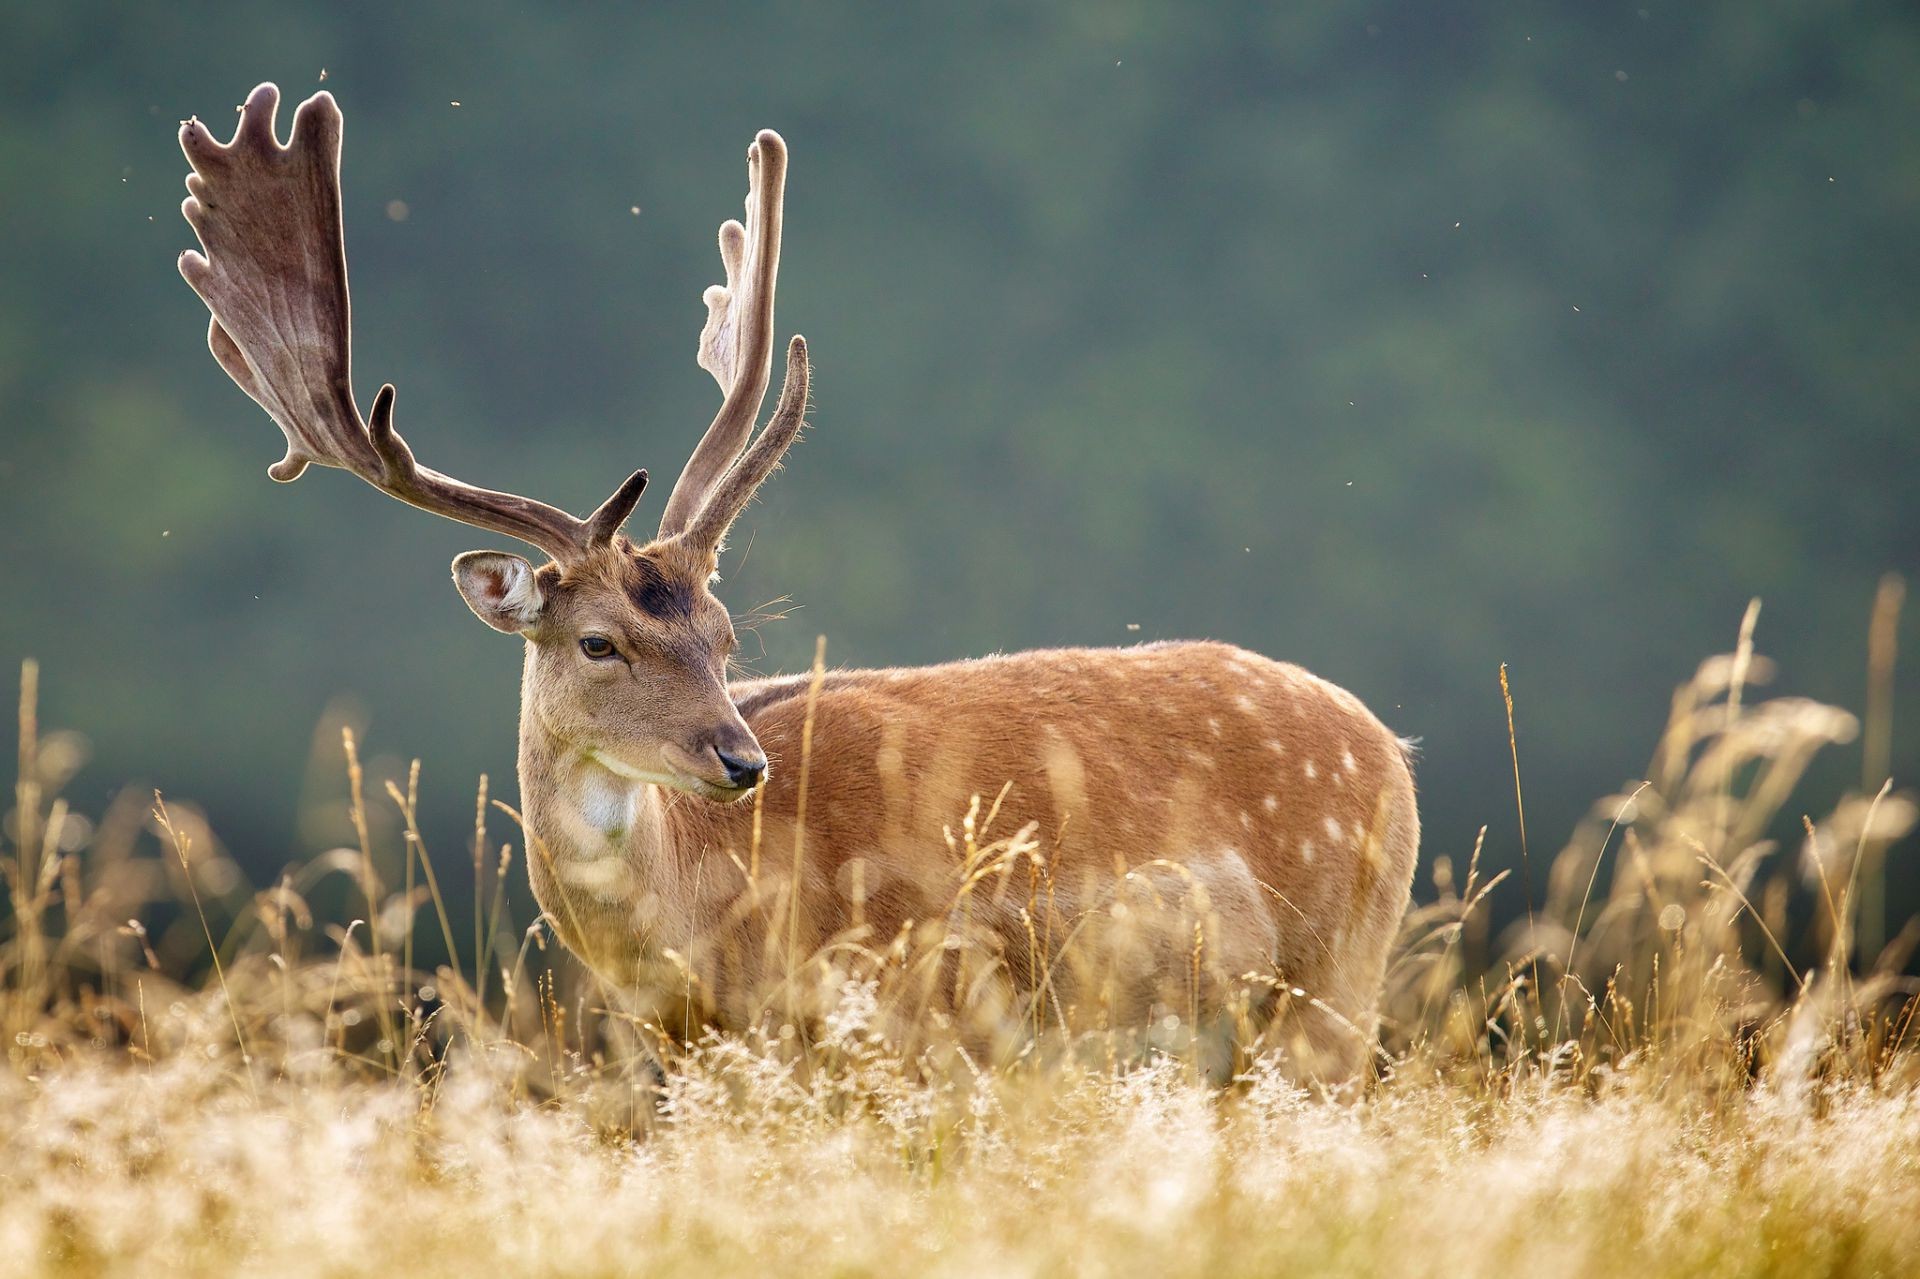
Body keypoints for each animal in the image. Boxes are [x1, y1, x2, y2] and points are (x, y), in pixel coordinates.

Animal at [180, 82, 1420, 1075]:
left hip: (1335, 981)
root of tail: (1392, 751)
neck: (701, 940)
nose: (740, 759)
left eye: (725, 637)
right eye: (598, 640)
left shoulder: (912, 1009)